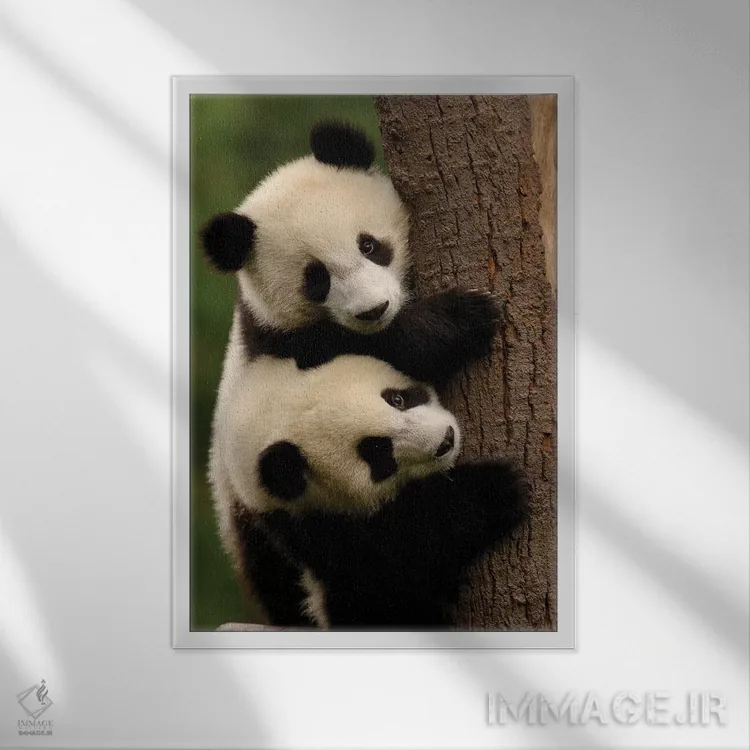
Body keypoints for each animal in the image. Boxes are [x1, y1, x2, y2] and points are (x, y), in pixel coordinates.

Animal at [212, 354, 528, 628]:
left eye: (397, 399)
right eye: (378, 454)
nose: (446, 441)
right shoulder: (311, 529)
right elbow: (390, 564)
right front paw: (492, 489)